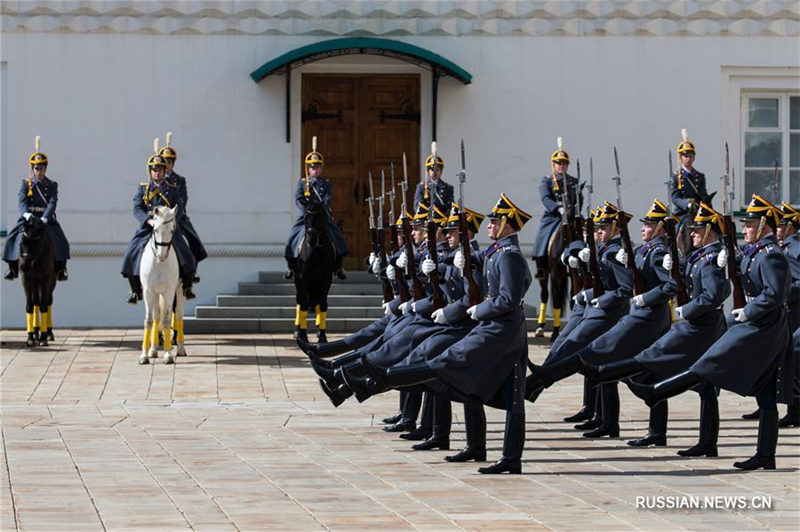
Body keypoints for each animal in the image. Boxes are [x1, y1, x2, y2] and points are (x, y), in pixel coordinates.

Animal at [19, 217, 56, 348]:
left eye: (36, 243)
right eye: (22, 242)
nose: (24, 266)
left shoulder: (47, 279)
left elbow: (44, 305)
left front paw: (43, 338)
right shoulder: (26, 279)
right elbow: (30, 305)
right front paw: (30, 337)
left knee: (48, 301)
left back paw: (48, 333)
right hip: (34, 283)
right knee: (35, 302)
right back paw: (35, 332)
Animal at [140, 207, 187, 366]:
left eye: (172, 230)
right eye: (155, 229)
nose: (161, 256)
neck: (159, 264)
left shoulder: (169, 291)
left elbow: (166, 320)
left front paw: (167, 354)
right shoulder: (148, 291)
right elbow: (149, 320)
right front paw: (144, 355)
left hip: (179, 290)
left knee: (178, 314)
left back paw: (180, 348)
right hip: (155, 294)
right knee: (156, 317)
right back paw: (153, 349)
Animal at [290, 196, 334, 344]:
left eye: (320, 216)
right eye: (305, 217)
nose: (311, 238)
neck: (315, 250)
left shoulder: (326, 278)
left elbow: (323, 304)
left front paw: (322, 335)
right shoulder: (303, 277)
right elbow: (303, 305)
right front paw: (303, 335)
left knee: (316, 302)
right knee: (299, 301)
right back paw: (297, 331)